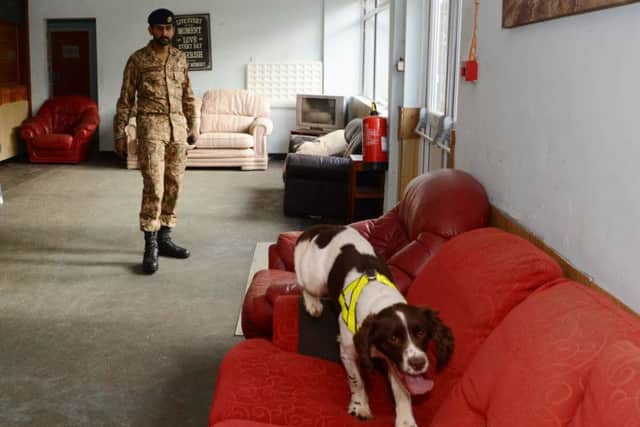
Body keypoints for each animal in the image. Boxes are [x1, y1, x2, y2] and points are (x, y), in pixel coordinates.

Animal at [296, 226, 456, 426]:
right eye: (393, 338)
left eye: (421, 333)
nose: (418, 363)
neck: (381, 299)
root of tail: (330, 227)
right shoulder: (348, 353)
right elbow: (356, 381)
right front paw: (360, 406)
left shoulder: (396, 362)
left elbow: (402, 391)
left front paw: (405, 420)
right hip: (314, 280)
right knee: (305, 286)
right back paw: (313, 304)